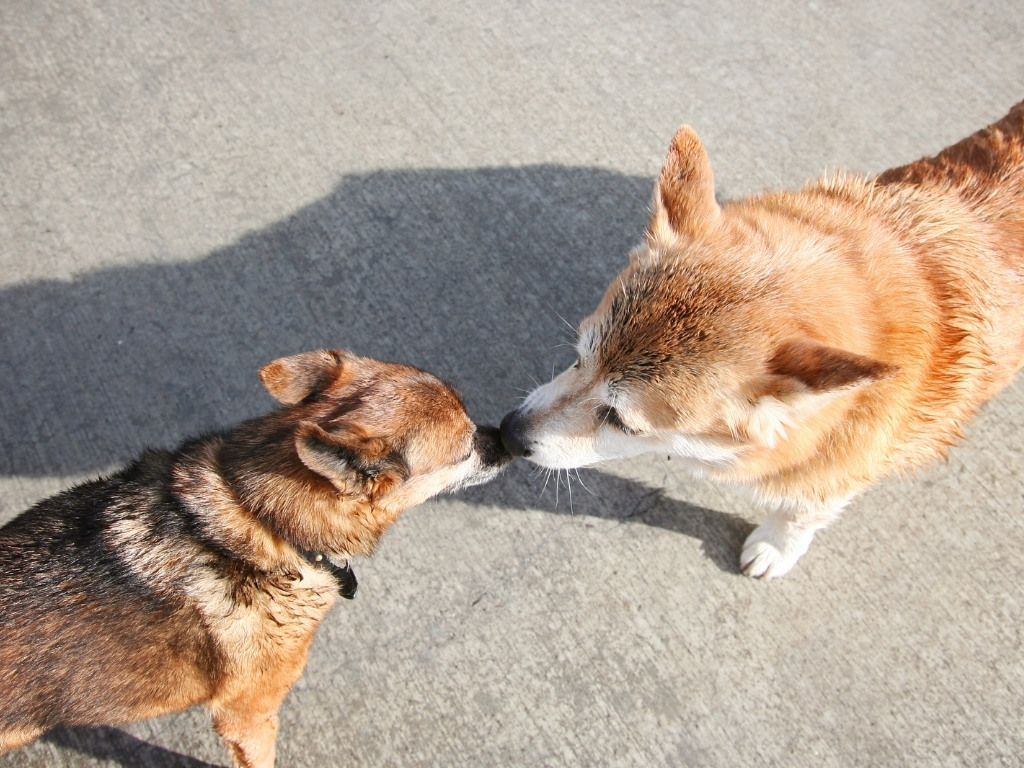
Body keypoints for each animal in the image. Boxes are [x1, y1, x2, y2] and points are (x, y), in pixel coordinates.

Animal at [501, 105, 1024, 581]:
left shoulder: (838, 470)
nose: (507, 433)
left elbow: (801, 511)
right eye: (577, 355)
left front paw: (776, 547)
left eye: (622, 422)